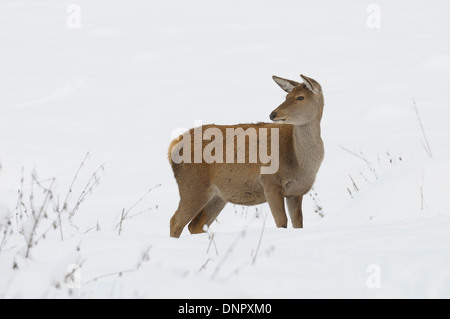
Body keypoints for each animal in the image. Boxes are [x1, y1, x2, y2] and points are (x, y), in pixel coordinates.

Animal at [168, 74, 324, 238]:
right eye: (287, 96)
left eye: (300, 97)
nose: (273, 114)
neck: (299, 164)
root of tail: (173, 145)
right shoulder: (269, 182)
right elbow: (281, 221)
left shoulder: (296, 192)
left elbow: (298, 223)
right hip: (192, 186)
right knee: (176, 221)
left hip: (218, 196)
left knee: (195, 225)